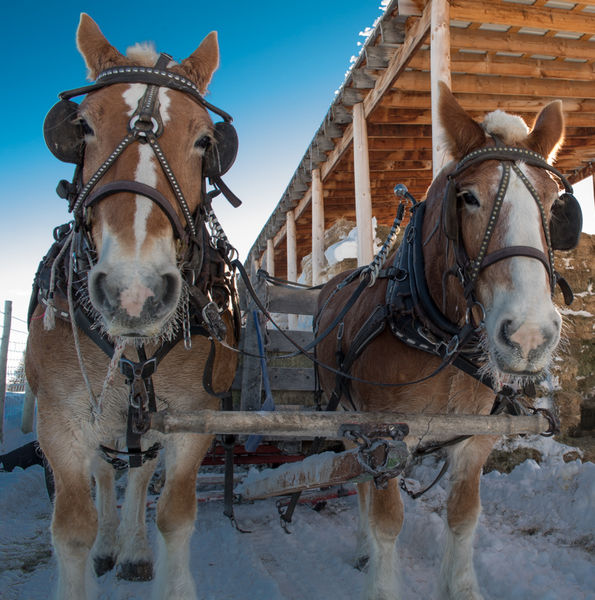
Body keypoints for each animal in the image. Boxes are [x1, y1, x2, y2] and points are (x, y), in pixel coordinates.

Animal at [25, 14, 240, 600]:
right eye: (83, 127)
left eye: (205, 139)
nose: (134, 292)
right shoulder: (59, 421)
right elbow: (73, 527)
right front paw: (93, 546)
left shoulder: (193, 419)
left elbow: (174, 513)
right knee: (105, 474)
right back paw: (109, 545)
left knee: (139, 473)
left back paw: (135, 550)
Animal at [318, 83, 580, 600]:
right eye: (469, 197)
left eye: (552, 202)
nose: (529, 334)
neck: (435, 334)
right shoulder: (383, 436)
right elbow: (386, 521)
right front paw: (381, 583)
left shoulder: (474, 438)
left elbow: (463, 517)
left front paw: (460, 587)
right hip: (347, 418)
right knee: (359, 483)